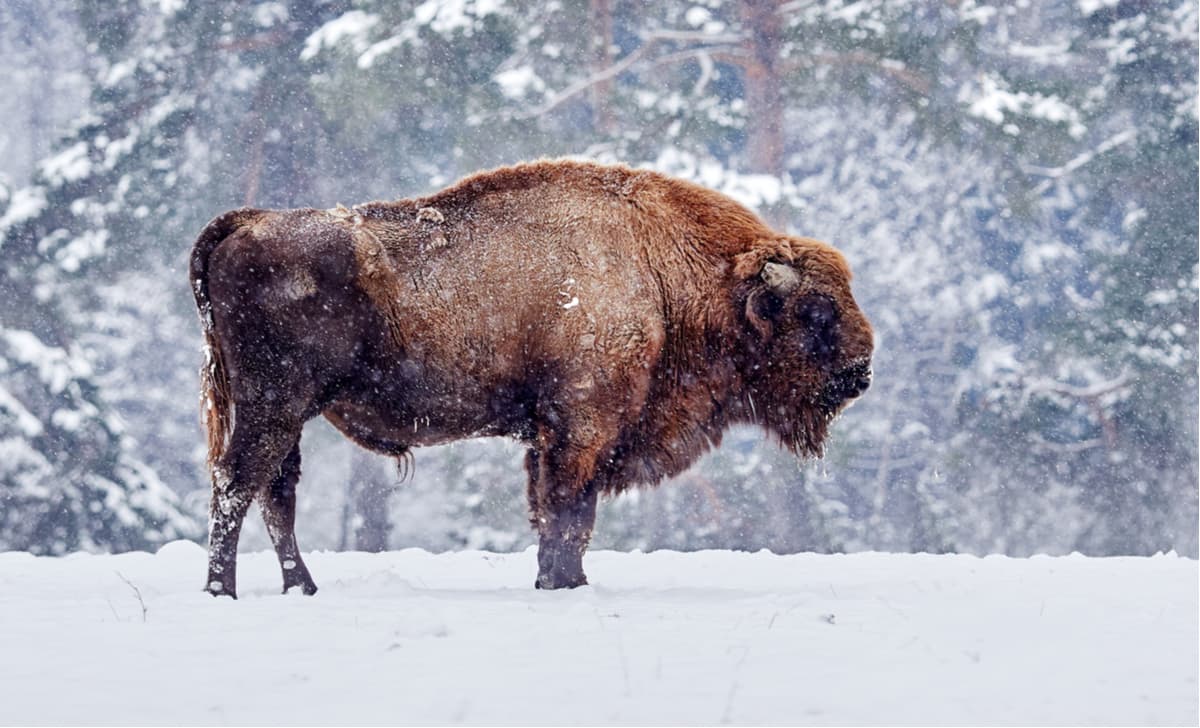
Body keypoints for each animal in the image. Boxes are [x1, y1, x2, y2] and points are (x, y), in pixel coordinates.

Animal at [190, 159, 873, 597]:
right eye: (817, 310)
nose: (861, 371)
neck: (664, 271)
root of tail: (248, 221)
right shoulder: (581, 430)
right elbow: (567, 514)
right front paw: (562, 583)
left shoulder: (557, 438)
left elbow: (559, 516)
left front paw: (562, 580)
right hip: (273, 405)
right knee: (236, 486)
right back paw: (223, 591)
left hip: (288, 415)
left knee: (275, 494)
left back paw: (301, 588)